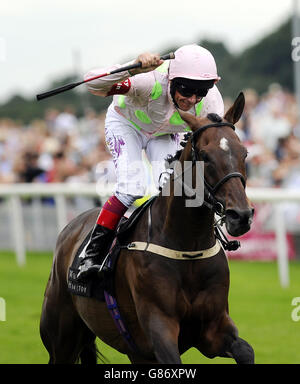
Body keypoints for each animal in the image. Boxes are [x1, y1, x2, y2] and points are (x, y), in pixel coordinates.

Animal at [39, 92, 255, 364]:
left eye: (244, 152)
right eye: (205, 156)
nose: (241, 216)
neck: (188, 247)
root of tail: (71, 227)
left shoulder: (212, 328)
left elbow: (245, 350)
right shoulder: (158, 327)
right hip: (62, 339)